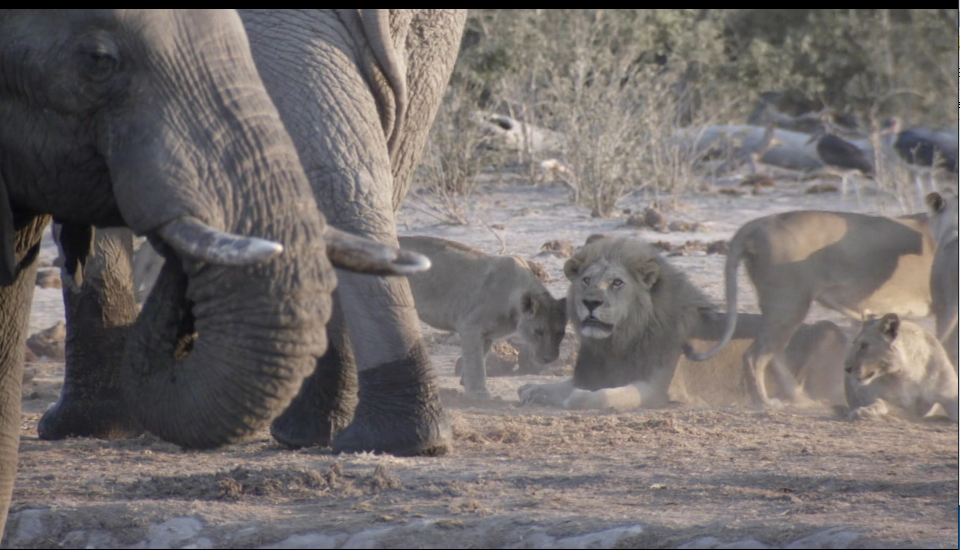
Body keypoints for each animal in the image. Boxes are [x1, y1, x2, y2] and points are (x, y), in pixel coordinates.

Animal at [400, 236, 568, 396]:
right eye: (539, 331)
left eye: (560, 333)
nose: (550, 358)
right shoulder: (469, 326)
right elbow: (476, 361)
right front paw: (478, 392)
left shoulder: (487, 334)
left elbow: (481, 355)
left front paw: (465, 381)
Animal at [688, 211, 932, 410]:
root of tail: (759, 221)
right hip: (790, 302)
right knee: (755, 355)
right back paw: (764, 402)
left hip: (782, 307)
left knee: (773, 354)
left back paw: (800, 399)